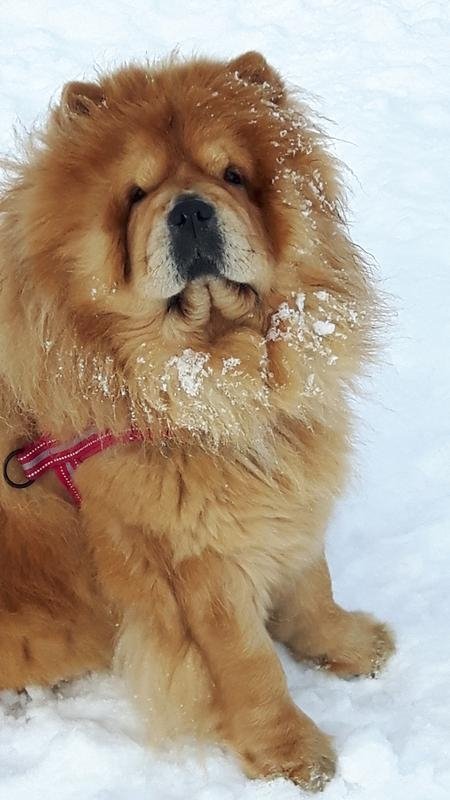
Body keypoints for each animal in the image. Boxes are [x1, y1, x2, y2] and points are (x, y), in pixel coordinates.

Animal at [0, 53, 394, 792]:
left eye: (232, 175)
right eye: (136, 194)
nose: (188, 210)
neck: (214, 378)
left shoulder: (277, 490)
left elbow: (311, 583)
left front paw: (350, 644)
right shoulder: (188, 556)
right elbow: (247, 664)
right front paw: (293, 757)